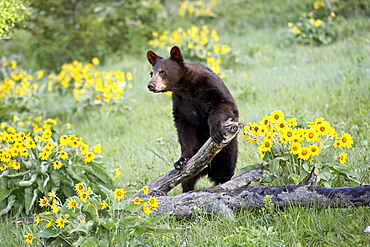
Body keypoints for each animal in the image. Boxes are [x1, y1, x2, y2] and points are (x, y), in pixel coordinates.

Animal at [146, 46, 238, 193]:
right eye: (151, 73)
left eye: (163, 72)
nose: (151, 85)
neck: (185, 88)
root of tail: (208, 170)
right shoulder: (181, 103)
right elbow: (185, 128)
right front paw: (181, 160)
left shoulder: (209, 85)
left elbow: (224, 104)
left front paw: (216, 131)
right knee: (187, 180)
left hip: (227, 152)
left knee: (225, 172)